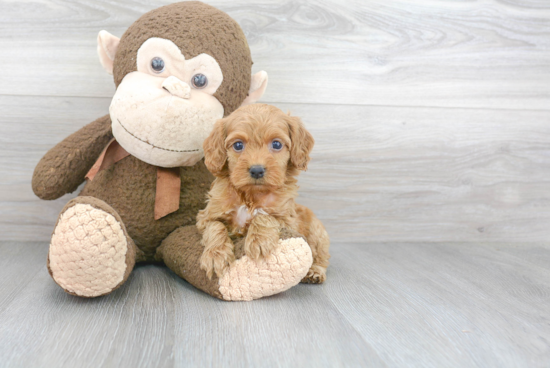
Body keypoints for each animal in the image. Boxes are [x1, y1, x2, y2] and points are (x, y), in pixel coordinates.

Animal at [196, 103, 330, 284]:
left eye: (277, 144)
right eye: (238, 145)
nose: (257, 170)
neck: (251, 195)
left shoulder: (288, 221)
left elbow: (264, 216)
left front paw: (259, 241)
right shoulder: (206, 217)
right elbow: (215, 226)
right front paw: (215, 255)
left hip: (317, 232)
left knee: (320, 256)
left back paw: (315, 272)